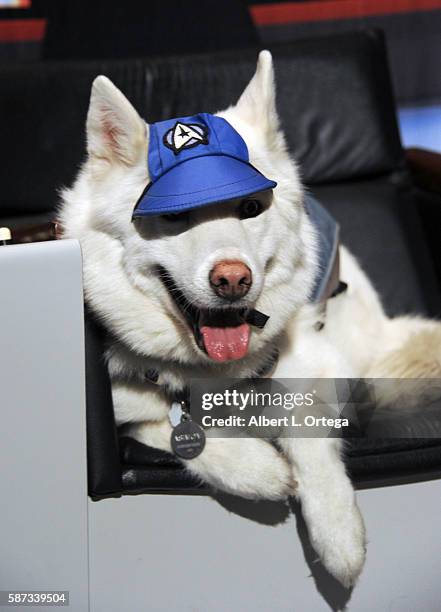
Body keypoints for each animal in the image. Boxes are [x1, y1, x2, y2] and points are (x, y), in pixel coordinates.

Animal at [60, 50, 440, 584]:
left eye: (250, 207)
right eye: (172, 217)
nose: (233, 279)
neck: (211, 373)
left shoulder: (320, 366)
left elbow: (305, 420)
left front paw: (338, 533)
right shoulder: (126, 407)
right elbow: (163, 427)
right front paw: (258, 470)